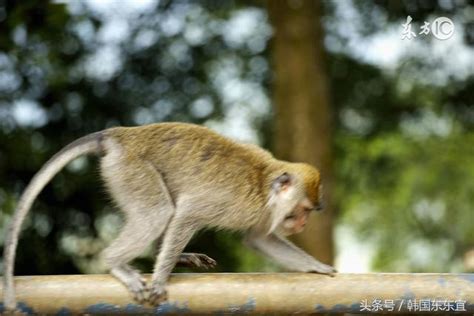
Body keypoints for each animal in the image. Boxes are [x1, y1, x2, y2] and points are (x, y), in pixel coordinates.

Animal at [1, 122, 336, 310]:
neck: (264, 183)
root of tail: (120, 136)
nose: (303, 223)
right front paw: (160, 280)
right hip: (131, 170)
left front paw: (318, 267)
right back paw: (115, 262)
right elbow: (187, 213)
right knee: (159, 212)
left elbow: (259, 239)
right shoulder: (235, 201)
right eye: (303, 211)